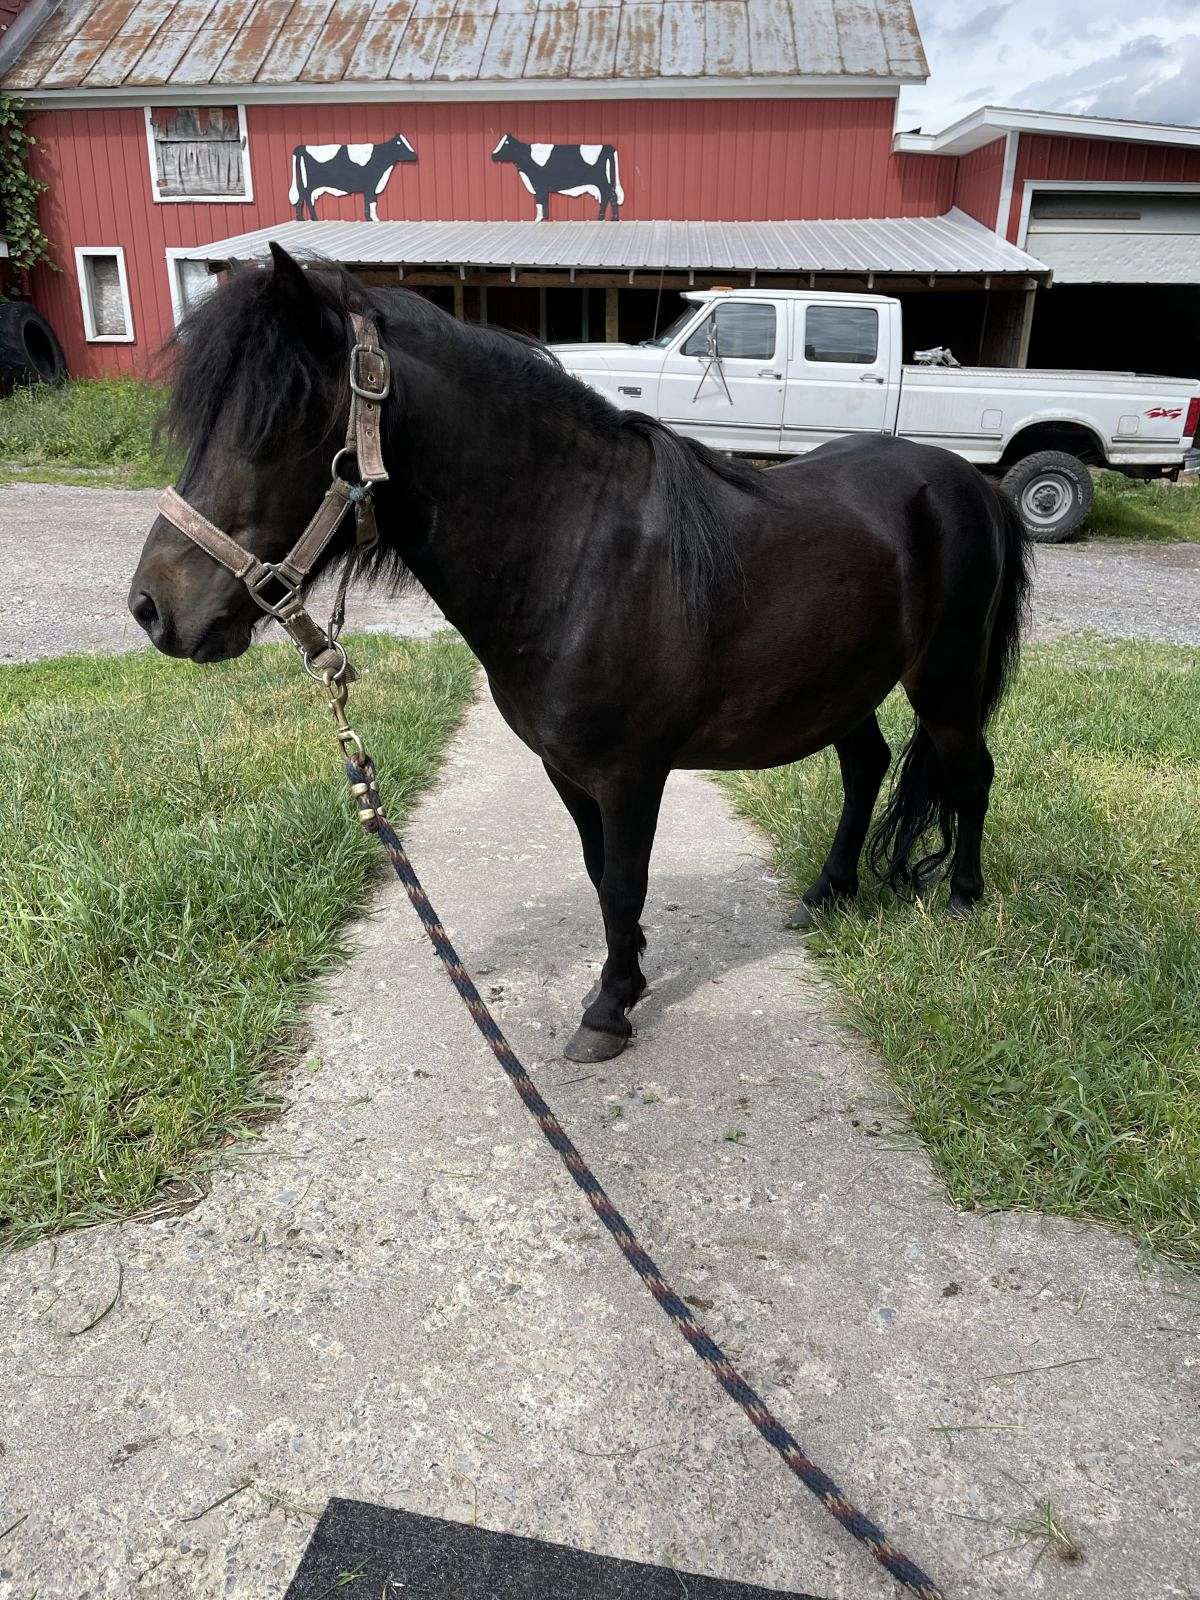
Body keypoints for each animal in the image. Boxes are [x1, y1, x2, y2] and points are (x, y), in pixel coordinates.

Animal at [129, 244, 1031, 1064]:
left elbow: (626, 881)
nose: (152, 608)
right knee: (866, 766)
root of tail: (973, 485)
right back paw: (828, 893)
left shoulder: (632, 773)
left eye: (278, 423)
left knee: (970, 774)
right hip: (843, 684)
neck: (578, 555)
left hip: (944, 682)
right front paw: (626, 980)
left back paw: (963, 899)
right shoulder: (567, 770)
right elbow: (602, 880)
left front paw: (607, 1013)